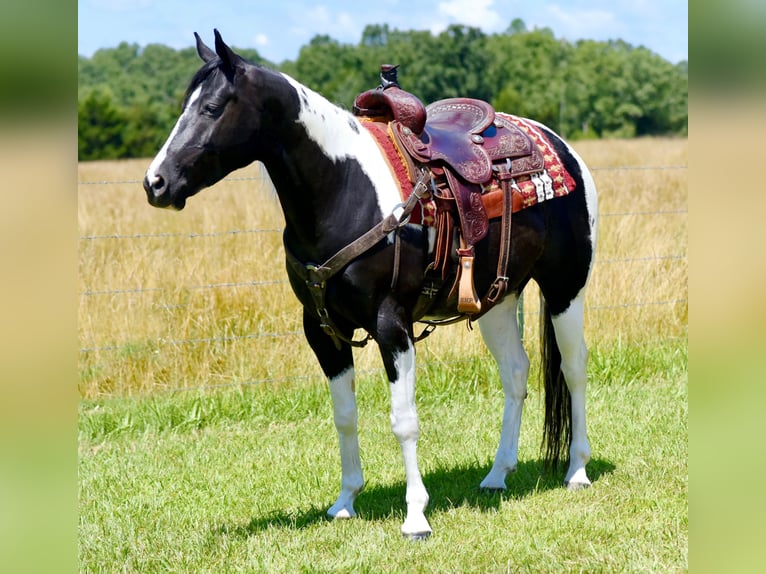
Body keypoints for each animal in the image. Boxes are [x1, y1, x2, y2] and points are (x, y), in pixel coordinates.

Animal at [143, 30, 598, 540]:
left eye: (213, 107)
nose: (155, 183)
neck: (342, 189)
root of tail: (560, 146)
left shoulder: (391, 325)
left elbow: (404, 420)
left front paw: (416, 516)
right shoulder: (321, 329)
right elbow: (344, 416)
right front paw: (345, 501)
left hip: (566, 288)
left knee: (574, 368)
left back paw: (577, 470)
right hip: (498, 301)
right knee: (516, 373)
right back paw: (498, 474)